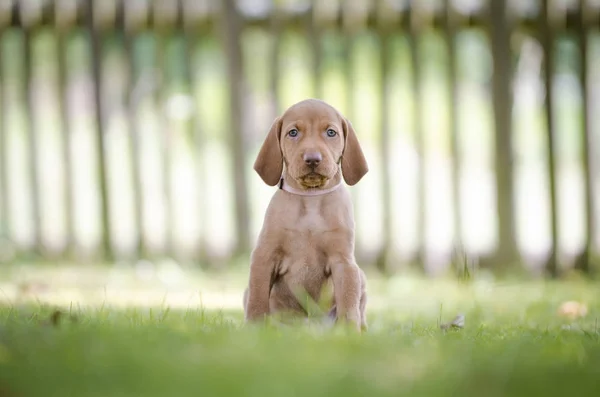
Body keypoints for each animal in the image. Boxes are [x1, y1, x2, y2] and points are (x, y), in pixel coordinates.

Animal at [241, 97, 368, 330]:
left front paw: (348, 333)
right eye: (293, 132)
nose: (312, 159)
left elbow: (348, 304)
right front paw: (254, 330)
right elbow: (257, 298)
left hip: (360, 276)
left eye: (331, 132)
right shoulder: (264, 256)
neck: (311, 200)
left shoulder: (343, 262)